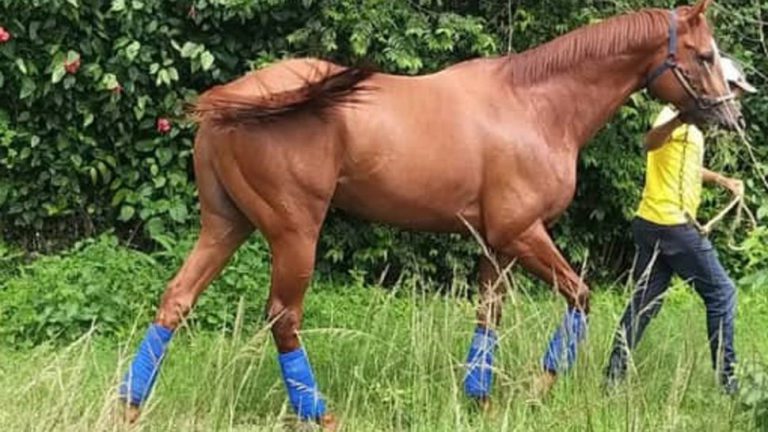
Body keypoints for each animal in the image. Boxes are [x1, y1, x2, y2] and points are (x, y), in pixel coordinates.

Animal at [118, 0, 741, 428]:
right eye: (704, 55)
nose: (731, 116)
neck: (534, 105)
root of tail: (232, 97)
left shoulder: (495, 243)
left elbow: (488, 316)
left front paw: (481, 399)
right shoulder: (523, 233)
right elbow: (579, 297)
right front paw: (539, 387)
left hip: (226, 226)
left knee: (176, 300)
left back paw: (129, 405)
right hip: (294, 232)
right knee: (283, 317)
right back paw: (320, 414)